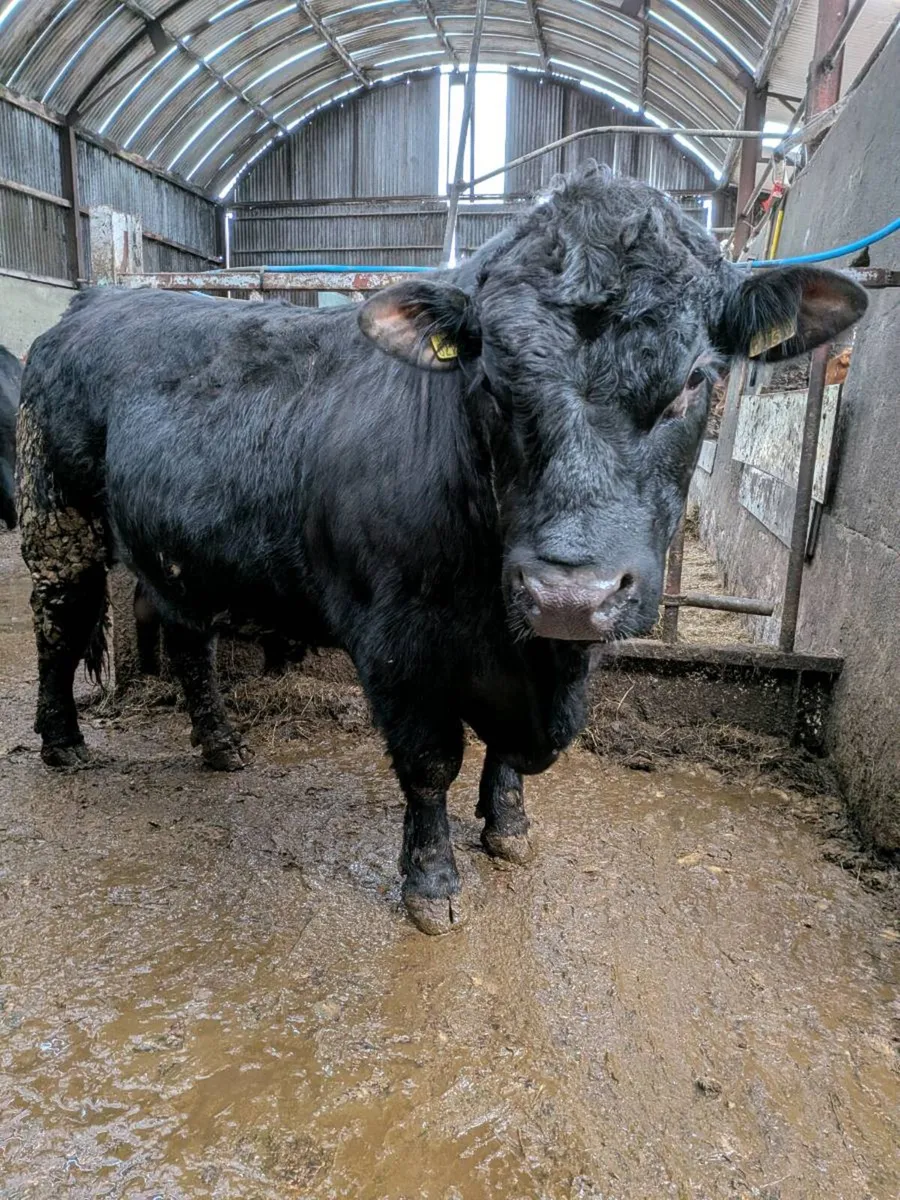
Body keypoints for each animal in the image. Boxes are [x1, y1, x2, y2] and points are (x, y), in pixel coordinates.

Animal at [16, 163, 866, 934]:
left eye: (695, 381)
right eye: (494, 382)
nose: (569, 594)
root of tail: (98, 298)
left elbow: (512, 754)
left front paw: (509, 827)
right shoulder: (396, 645)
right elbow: (430, 764)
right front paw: (431, 884)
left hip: (179, 556)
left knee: (189, 638)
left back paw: (221, 744)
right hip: (58, 520)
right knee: (58, 623)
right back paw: (63, 742)